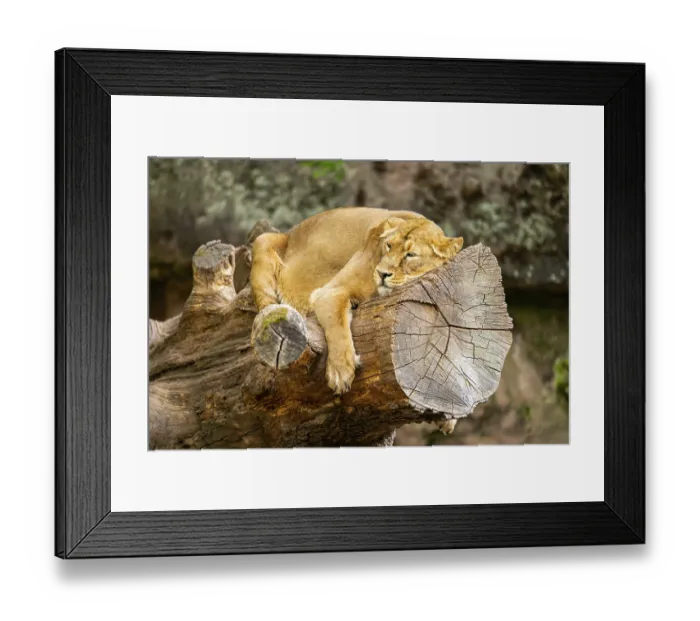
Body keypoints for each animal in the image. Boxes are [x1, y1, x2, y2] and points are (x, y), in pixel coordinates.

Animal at [250, 207, 464, 395]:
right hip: (263, 240)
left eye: (410, 255)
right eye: (389, 246)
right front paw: (340, 372)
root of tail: (290, 232)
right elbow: (338, 327)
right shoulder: (328, 292)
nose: (382, 273)